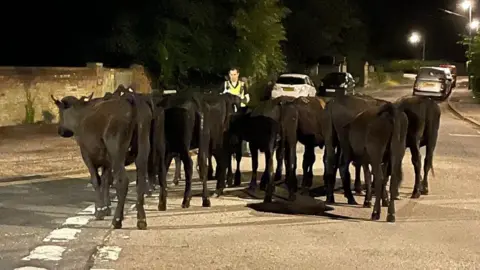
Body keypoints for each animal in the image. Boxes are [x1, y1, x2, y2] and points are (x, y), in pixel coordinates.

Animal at [50, 93, 150, 230]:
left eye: (60, 112)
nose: (60, 130)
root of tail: (130, 100)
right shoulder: (107, 161)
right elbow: (106, 181)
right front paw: (107, 208)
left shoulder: (86, 155)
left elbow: (96, 180)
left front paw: (100, 210)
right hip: (143, 149)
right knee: (141, 180)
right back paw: (141, 219)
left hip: (117, 151)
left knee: (123, 181)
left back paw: (117, 220)